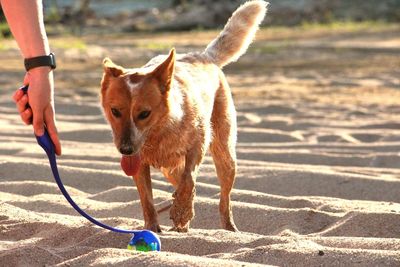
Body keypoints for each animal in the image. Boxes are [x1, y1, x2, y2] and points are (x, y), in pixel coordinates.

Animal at [101, 0, 268, 232]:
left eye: (144, 113)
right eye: (115, 111)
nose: (125, 149)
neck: (161, 130)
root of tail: (205, 56)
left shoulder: (198, 144)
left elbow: (189, 180)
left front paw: (181, 212)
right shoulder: (139, 163)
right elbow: (147, 200)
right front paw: (153, 228)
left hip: (225, 154)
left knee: (223, 198)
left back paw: (227, 228)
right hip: (170, 169)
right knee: (179, 183)